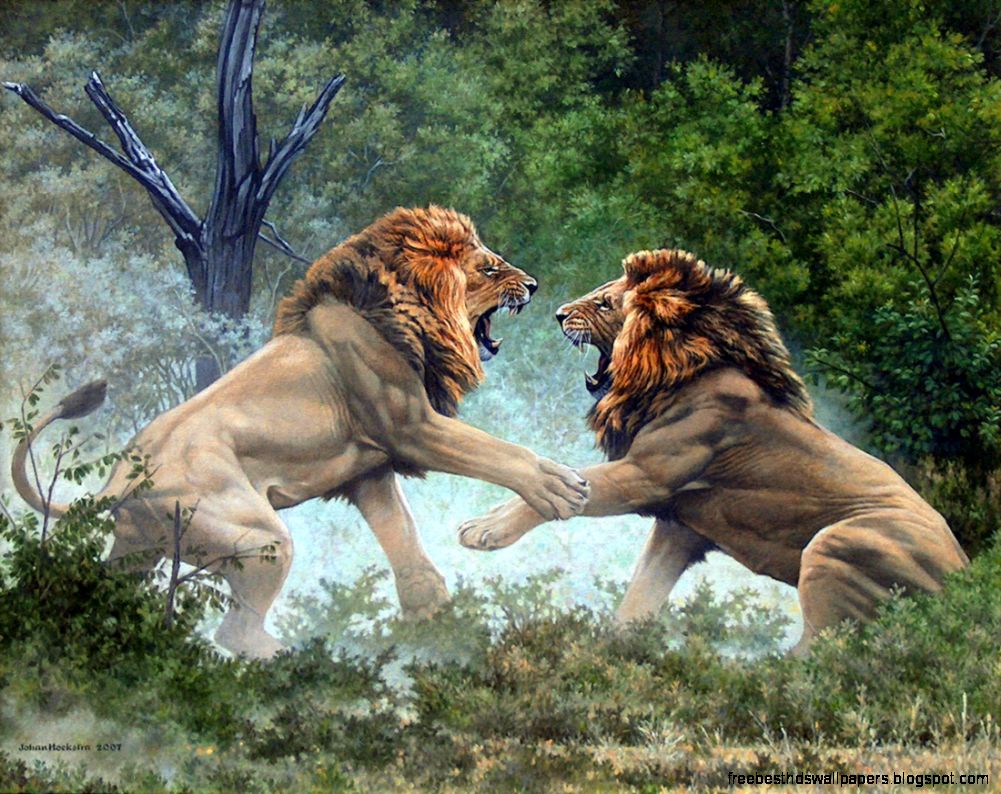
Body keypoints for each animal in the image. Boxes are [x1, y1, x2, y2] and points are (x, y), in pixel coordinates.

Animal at [12, 206, 589, 658]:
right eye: (489, 267)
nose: (534, 286)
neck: (405, 314)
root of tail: (121, 478)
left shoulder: (369, 471)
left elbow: (403, 538)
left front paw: (435, 618)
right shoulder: (411, 426)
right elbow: (501, 452)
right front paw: (559, 487)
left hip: (135, 553)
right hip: (259, 539)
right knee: (236, 631)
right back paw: (308, 662)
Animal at [459, 249, 969, 654]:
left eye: (604, 302)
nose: (560, 313)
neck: (665, 377)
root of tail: (967, 577)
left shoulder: (646, 475)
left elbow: (566, 487)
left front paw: (486, 528)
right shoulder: (679, 526)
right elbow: (641, 594)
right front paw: (617, 650)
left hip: (834, 545)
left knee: (821, 653)